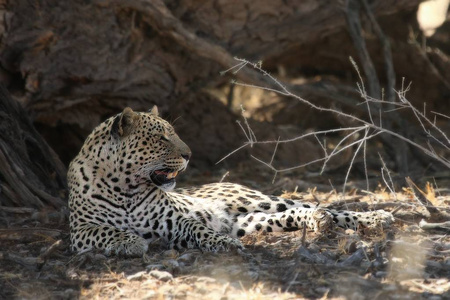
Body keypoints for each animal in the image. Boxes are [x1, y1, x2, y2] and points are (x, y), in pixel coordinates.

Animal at [67, 106, 394, 256]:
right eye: (161, 139)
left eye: (173, 133)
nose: (189, 154)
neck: (126, 188)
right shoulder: (79, 231)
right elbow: (105, 231)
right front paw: (130, 241)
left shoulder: (176, 220)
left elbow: (198, 228)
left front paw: (221, 243)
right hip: (250, 222)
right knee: (295, 214)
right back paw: (318, 221)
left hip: (258, 199)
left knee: (319, 206)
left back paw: (376, 217)